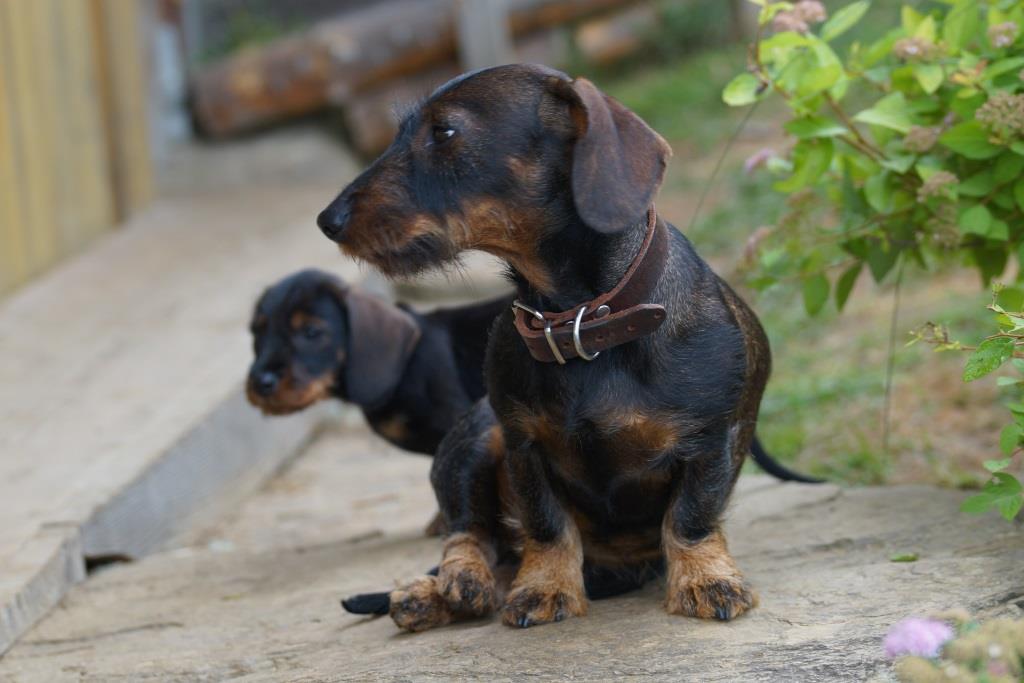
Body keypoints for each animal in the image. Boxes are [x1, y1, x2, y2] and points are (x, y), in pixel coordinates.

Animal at [318, 64, 811, 630]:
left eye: (444, 132)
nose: (327, 221)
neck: (579, 324)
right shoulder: (523, 445)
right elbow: (547, 526)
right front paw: (546, 588)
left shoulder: (712, 440)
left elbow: (691, 517)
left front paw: (706, 579)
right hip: (475, 435)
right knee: (472, 536)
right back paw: (444, 588)